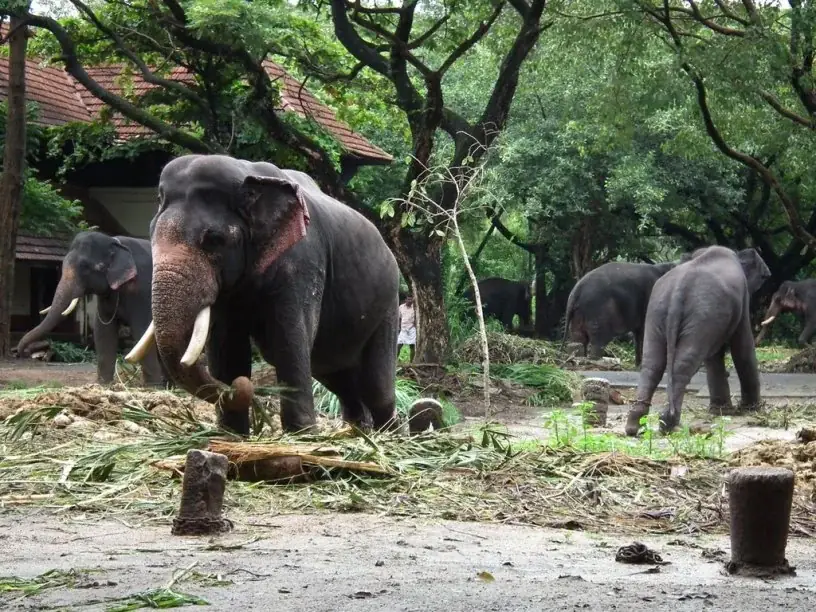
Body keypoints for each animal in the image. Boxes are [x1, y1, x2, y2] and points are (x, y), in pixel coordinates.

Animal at [15, 231, 166, 387]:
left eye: (85, 267)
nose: (22, 353)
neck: (114, 242)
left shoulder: (142, 291)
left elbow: (140, 330)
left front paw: (152, 387)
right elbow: (103, 331)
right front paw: (104, 384)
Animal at [125, 154, 401, 436]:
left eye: (214, 240)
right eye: (151, 233)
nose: (241, 385)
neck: (248, 176)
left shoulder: (302, 261)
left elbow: (290, 335)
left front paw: (301, 434)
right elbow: (227, 343)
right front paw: (232, 434)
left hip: (389, 306)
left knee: (376, 387)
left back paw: (389, 436)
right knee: (339, 378)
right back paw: (357, 433)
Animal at [624, 246, 771, 436]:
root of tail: (678, 289)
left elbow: (714, 356)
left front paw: (721, 411)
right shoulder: (742, 298)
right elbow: (742, 346)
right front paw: (751, 409)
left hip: (659, 312)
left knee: (652, 364)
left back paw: (635, 427)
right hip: (700, 312)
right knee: (684, 363)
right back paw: (669, 423)